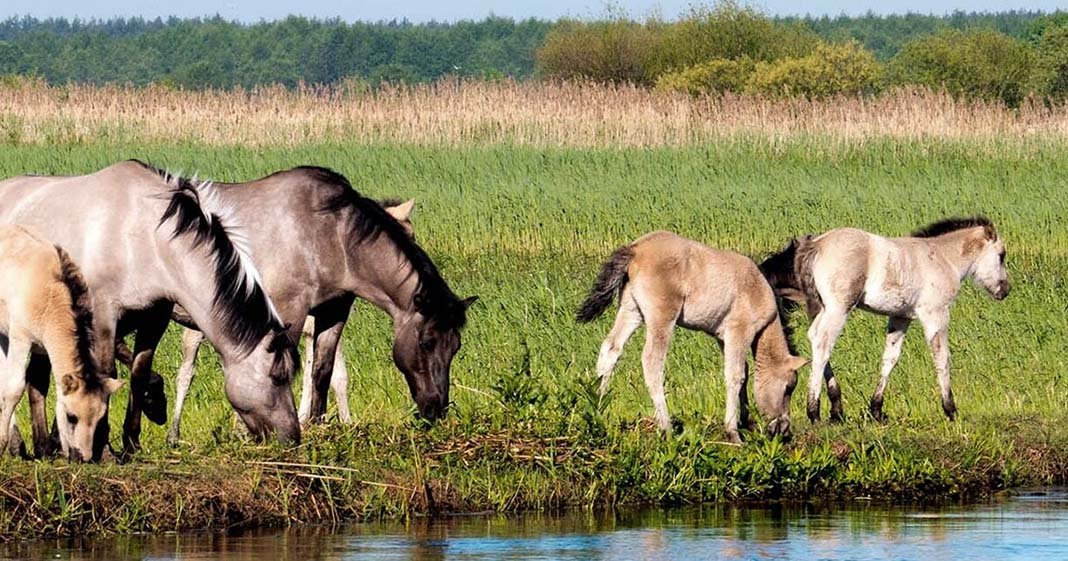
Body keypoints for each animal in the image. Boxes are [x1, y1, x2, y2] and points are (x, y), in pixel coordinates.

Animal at [0, 226, 124, 462]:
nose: (83, 457)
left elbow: (37, 385)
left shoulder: (42, 349)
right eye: (71, 416)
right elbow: (14, 388)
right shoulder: (20, 338)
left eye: (99, 418)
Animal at [576, 231, 808, 443]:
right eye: (789, 388)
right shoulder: (739, 331)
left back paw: (598, 408)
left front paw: (744, 422)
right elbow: (736, 376)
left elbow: (743, 372)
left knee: (611, 349)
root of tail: (636, 249)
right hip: (661, 318)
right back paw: (666, 427)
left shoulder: (723, 338)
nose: (784, 430)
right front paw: (733, 432)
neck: (759, 291)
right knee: (652, 361)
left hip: (631, 311)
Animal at [760, 217, 1009, 422]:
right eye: (1001, 255)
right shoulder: (936, 314)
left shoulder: (900, 317)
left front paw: (876, 409)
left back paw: (835, 409)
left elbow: (890, 358)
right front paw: (950, 410)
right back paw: (814, 411)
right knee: (823, 343)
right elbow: (942, 358)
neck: (942, 258)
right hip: (838, 308)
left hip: (821, 308)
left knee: (815, 339)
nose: (1005, 290)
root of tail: (817, 245)